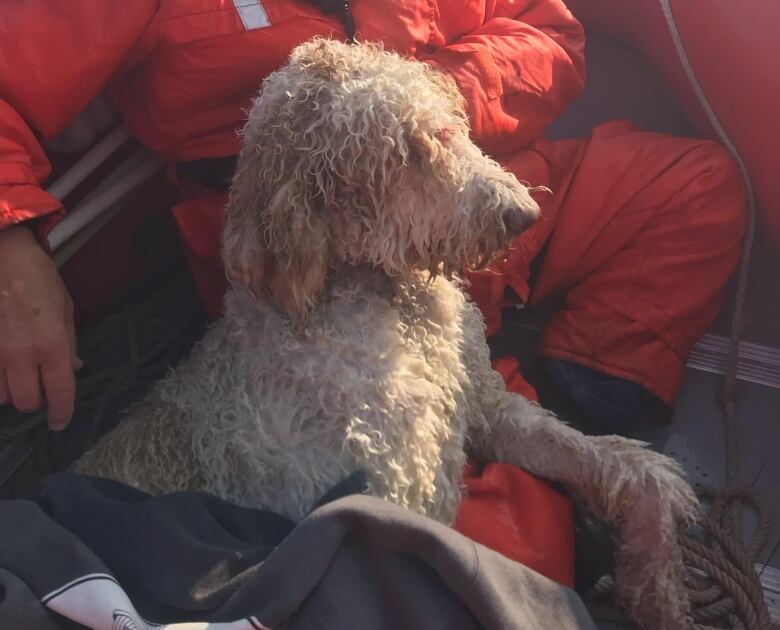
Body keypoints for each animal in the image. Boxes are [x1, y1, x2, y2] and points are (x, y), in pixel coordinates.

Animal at [79, 40, 696, 630]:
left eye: (450, 123)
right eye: (407, 153)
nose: (523, 214)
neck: (389, 301)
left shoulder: (486, 405)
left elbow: (626, 466)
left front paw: (656, 586)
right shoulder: (395, 494)